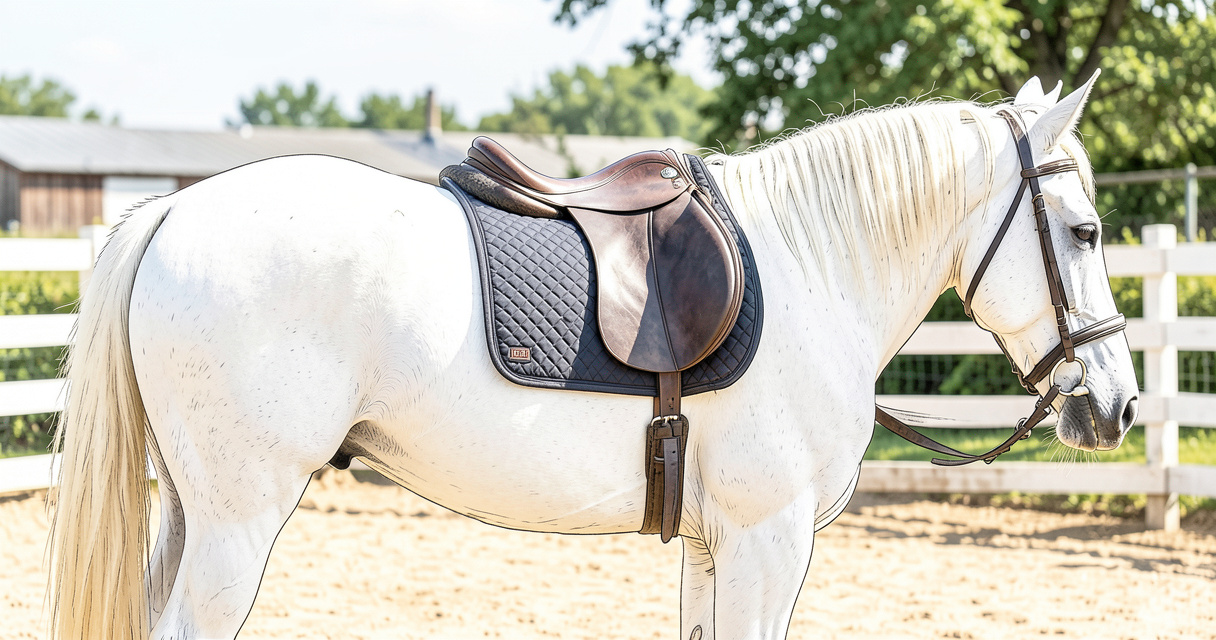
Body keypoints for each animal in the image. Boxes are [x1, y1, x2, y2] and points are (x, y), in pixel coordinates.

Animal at [48, 73, 1138, 640]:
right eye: (1084, 231)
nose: (1116, 406)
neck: (810, 263)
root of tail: (174, 209)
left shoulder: (712, 544)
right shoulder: (769, 538)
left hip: (192, 514)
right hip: (238, 521)